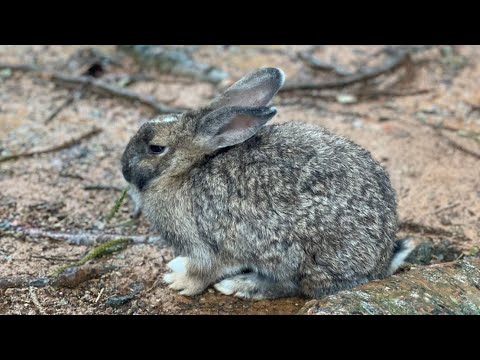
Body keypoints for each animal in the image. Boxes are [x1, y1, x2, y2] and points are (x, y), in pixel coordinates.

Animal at [121, 67, 416, 298]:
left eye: (156, 148)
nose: (124, 169)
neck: (186, 170)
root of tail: (380, 262)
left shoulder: (204, 243)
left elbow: (203, 272)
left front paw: (179, 282)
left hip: (291, 253)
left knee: (289, 286)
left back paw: (239, 285)